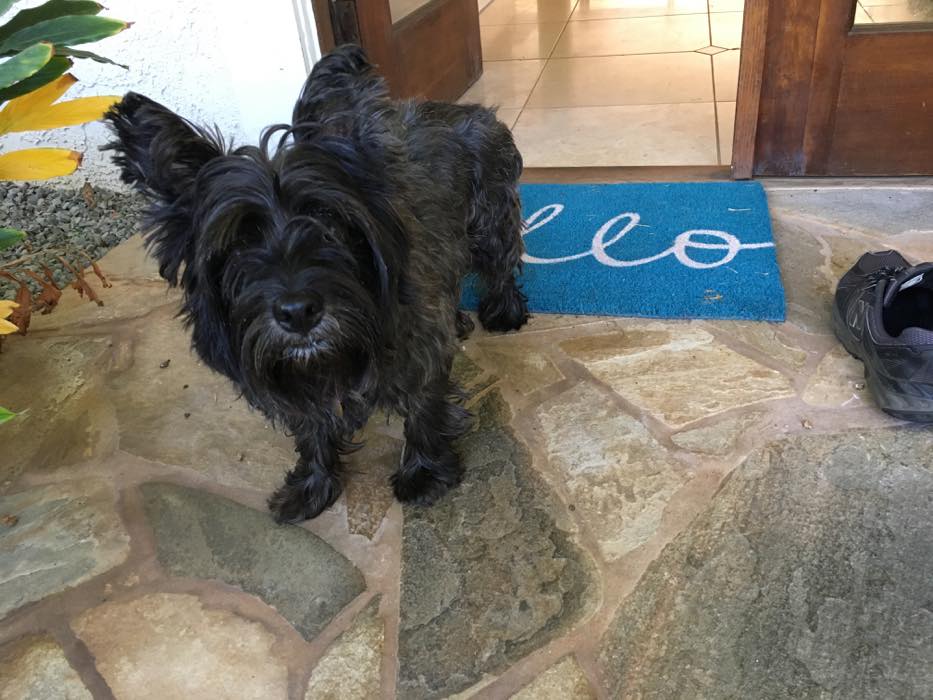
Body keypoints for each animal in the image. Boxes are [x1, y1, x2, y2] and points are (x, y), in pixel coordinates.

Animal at [103, 45, 529, 523]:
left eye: (326, 218)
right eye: (237, 242)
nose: (298, 312)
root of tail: (468, 107)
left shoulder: (420, 344)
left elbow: (423, 403)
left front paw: (423, 473)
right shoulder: (291, 374)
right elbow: (310, 427)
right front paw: (312, 485)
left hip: (490, 222)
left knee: (500, 266)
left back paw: (504, 311)